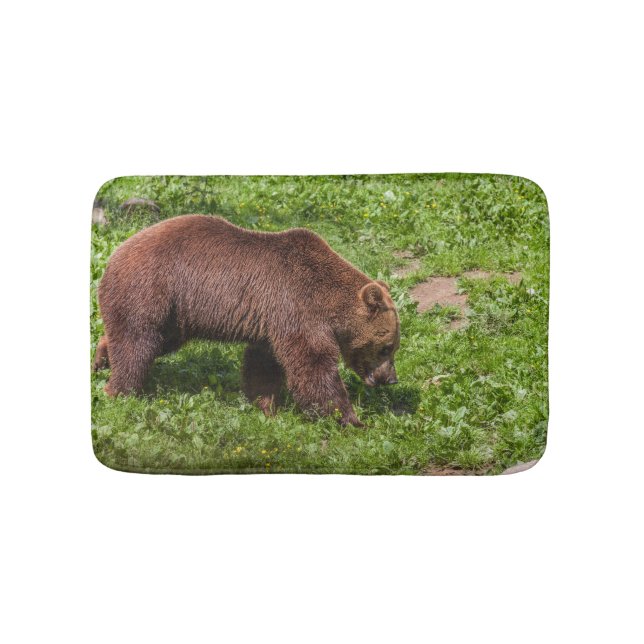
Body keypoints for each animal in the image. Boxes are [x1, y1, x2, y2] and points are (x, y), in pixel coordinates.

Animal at [93, 215, 400, 426]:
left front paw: (266, 407)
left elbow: (263, 364)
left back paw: (101, 357)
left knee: (149, 342)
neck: (327, 299)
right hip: (150, 291)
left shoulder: (272, 321)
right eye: (386, 347)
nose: (391, 379)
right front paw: (351, 419)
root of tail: (113, 256)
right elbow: (313, 364)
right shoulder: (296, 305)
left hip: (174, 317)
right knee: (136, 346)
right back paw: (117, 390)